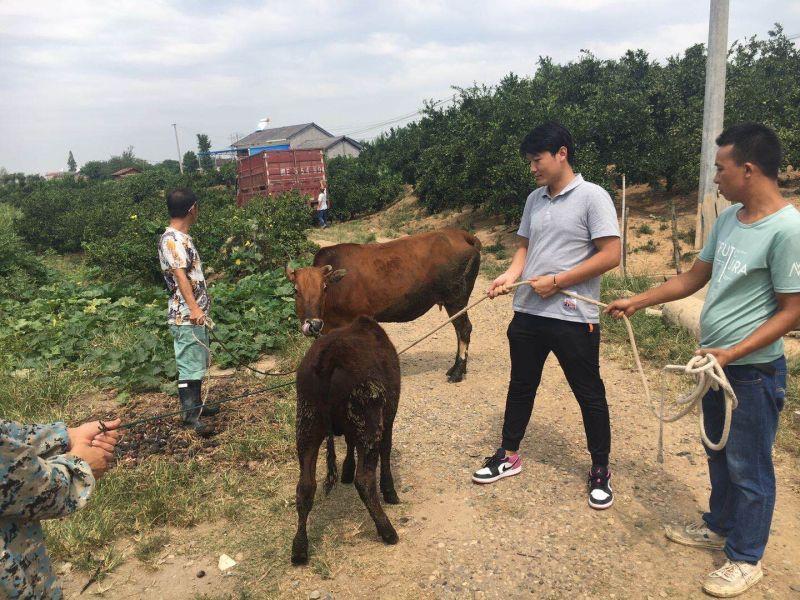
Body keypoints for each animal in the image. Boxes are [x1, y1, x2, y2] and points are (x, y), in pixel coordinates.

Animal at [284, 227, 478, 382]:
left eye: (324, 287)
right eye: (296, 290)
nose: (313, 324)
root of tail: (461, 234)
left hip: (456, 298)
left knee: (464, 329)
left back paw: (457, 372)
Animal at [290, 316, 400, 564]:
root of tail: (330, 356)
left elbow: (350, 444)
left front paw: (347, 470)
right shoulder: (388, 417)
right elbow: (386, 450)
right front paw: (389, 491)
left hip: (307, 423)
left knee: (305, 486)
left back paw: (299, 548)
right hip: (369, 421)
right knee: (365, 480)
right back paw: (387, 530)